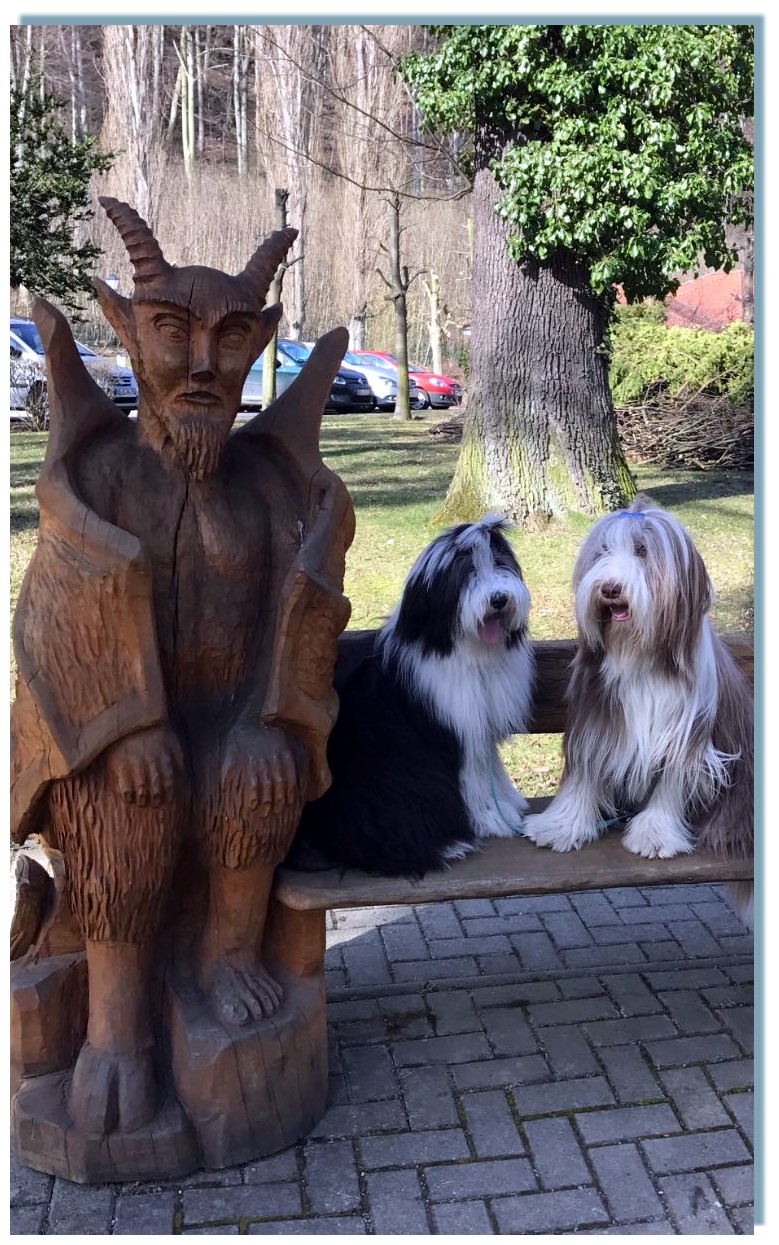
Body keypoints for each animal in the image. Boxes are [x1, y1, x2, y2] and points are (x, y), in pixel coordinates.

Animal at [288, 515, 537, 876]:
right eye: (466, 572)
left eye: (501, 562)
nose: (499, 599)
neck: (468, 655)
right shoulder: (454, 732)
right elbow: (474, 779)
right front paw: (492, 819)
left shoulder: (480, 726)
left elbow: (491, 766)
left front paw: (508, 803)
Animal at [522, 498, 751, 926]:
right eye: (602, 551)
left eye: (643, 552)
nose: (610, 588)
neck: (639, 657)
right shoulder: (595, 718)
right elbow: (584, 774)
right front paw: (560, 826)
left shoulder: (687, 734)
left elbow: (672, 782)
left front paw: (656, 836)